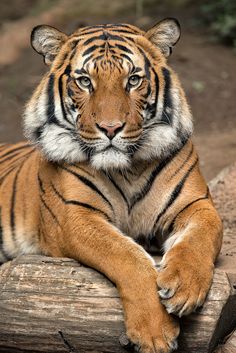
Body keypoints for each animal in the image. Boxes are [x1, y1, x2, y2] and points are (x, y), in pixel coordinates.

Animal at [0, 18, 223, 352]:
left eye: (133, 80)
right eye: (84, 81)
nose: (110, 128)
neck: (127, 169)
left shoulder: (196, 203)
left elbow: (201, 235)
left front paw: (184, 286)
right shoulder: (74, 217)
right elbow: (126, 254)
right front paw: (155, 332)